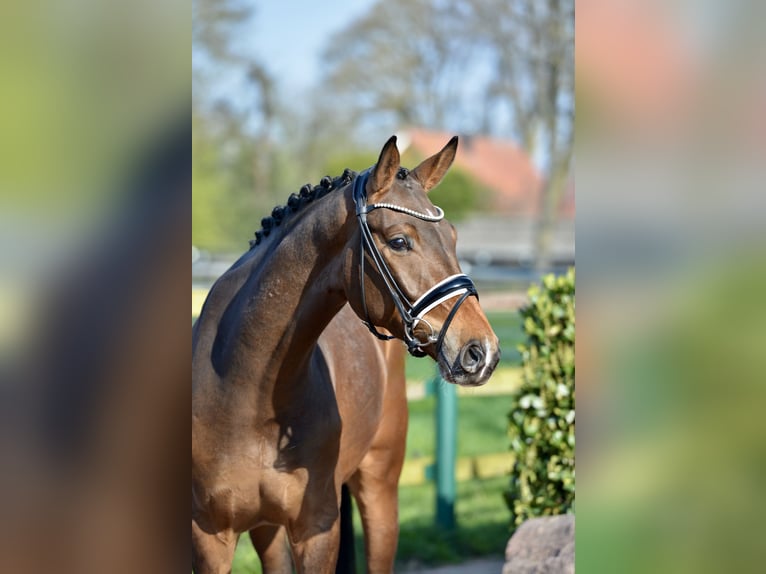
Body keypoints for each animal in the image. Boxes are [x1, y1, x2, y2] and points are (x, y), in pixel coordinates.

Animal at [192, 135, 501, 573]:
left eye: (453, 237)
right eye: (400, 241)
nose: (481, 350)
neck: (243, 391)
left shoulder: (317, 530)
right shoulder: (210, 537)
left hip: (379, 489)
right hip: (267, 529)